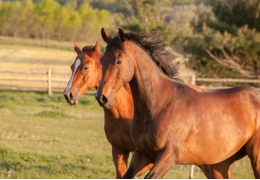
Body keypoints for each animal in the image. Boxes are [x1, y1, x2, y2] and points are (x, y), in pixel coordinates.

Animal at [63, 42, 232, 179]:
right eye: (72, 67)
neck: (123, 112)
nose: (68, 94)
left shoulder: (148, 156)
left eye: (85, 67)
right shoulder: (119, 150)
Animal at [96, 28, 260, 179]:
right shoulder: (142, 155)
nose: (101, 97)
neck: (160, 105)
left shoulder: (169, 156)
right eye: (102, 61)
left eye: (119, 60)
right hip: (219, 165)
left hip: (255, 157)